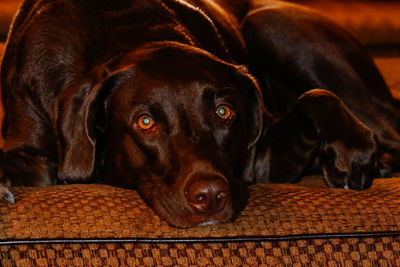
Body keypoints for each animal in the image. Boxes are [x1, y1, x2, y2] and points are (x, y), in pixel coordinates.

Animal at [0, 0, 400, 228]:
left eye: (224, 112)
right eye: (145, 122)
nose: (210, 196)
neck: (122, 31)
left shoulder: (263, 160)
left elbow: (316, 96)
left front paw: (351, 151)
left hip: (270, 23)